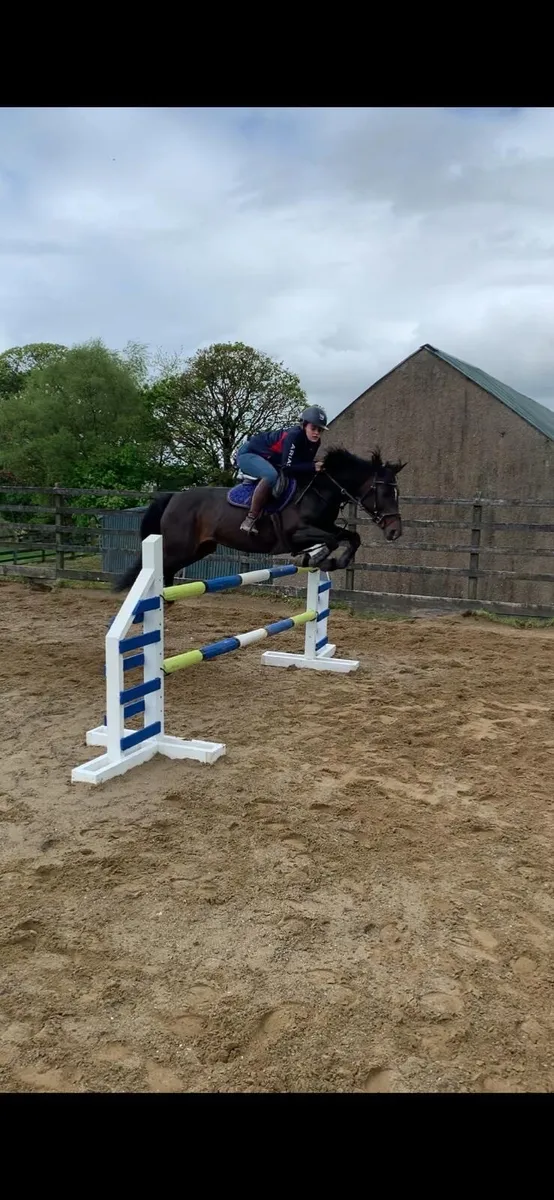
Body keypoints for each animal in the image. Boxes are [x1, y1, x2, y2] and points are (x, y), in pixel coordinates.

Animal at [114, 446, 406, 593]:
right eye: (383, 492)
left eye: (397, 492)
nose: (395, 532)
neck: (319, 491)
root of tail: (174, 497)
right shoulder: (297, 534)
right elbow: (332, 540)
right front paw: (318, 558)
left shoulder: (324, 527)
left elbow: (351, 537)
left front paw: (333, 562)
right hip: (177, 547)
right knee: (157, 568)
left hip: (198, 549)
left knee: (169, 571)